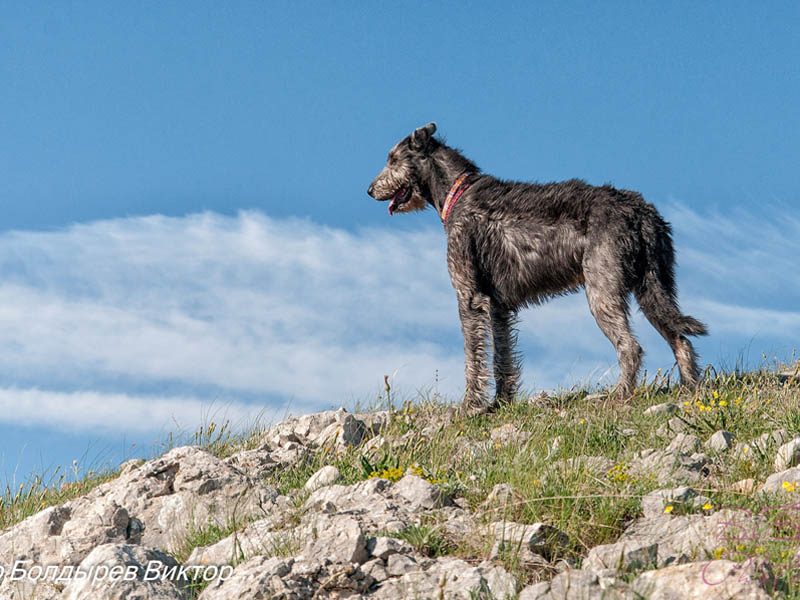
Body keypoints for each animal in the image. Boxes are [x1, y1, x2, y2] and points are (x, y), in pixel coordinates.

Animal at [368, 122, 708, 412]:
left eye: (393, 159)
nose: (370, 190)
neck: (456, 192)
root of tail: (641, 211)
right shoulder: (498, 307)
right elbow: (501, 357)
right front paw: (500, 403)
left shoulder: (469, 298)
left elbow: (473, 357)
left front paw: (469, 407)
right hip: (654, 286)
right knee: (679, 338)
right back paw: (691, 389)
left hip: (603, 289)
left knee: (630, 347)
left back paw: (621, 394)